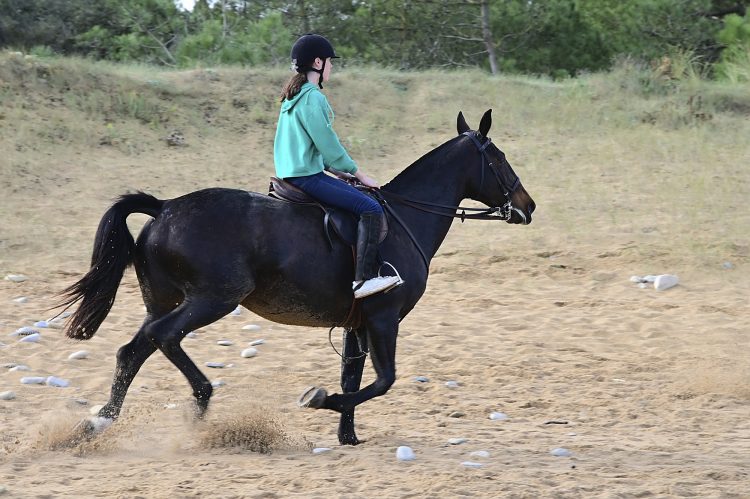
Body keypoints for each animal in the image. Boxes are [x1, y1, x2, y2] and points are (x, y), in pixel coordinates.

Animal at [58, 109, 535, 445]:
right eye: (499, 158)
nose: (527, 206)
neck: (405, 219)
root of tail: (165, 207)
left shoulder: (358, 323)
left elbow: (353, 375)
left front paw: (347, 436)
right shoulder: (384, 318)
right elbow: (382, 381)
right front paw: (323, 401)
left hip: (164, 300)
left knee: (133, 350)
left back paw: (99, 422)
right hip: (212, 300)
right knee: (164, 337)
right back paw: (200, 401)